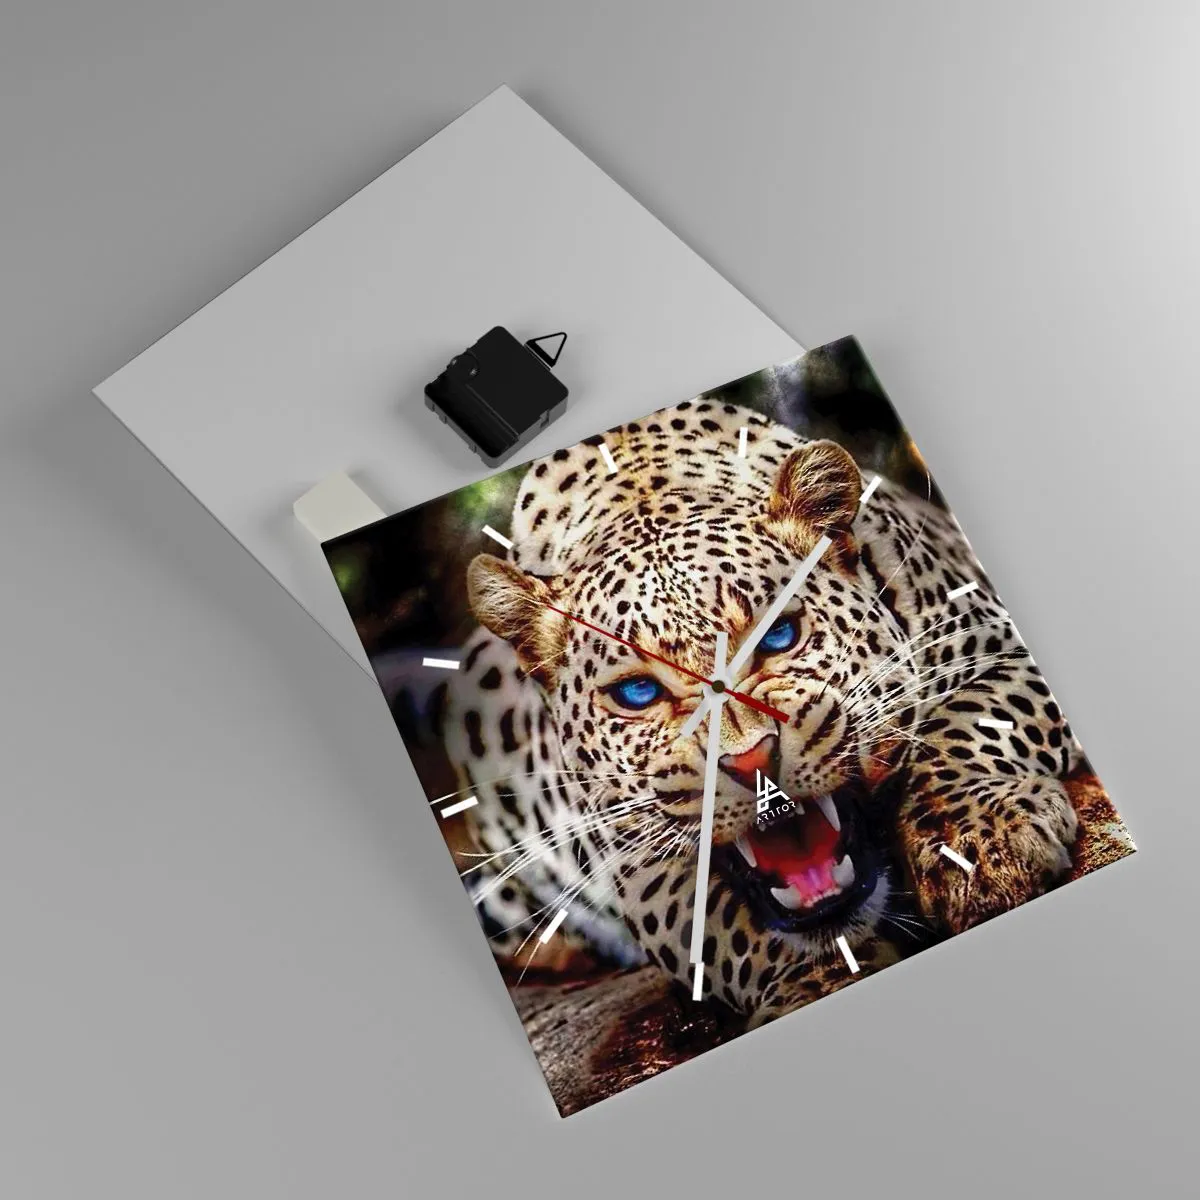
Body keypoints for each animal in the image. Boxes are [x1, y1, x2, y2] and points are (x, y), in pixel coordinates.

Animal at [440, 398, 1081, 1026]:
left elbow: (964, 725)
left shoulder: (997, 642)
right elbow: (723, 927)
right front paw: (821, 979)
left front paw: (979, 842)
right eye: (638, 694)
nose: (751, 763)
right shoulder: (639, 867)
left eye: (779, 636)